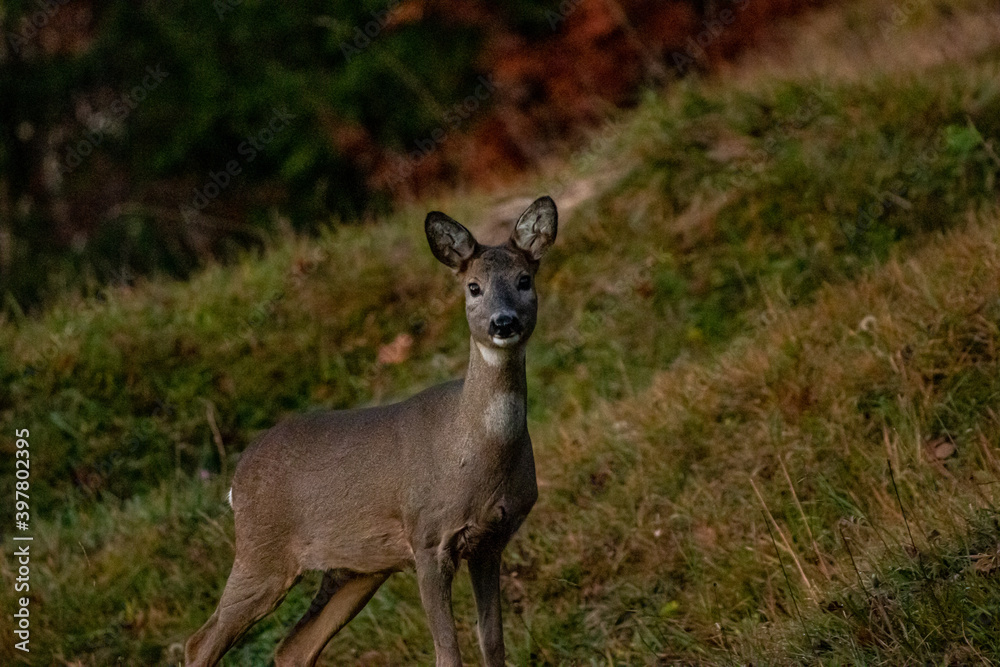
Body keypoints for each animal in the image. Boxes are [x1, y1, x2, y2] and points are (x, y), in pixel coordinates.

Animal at [185, 196, 560, 664]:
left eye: (524, 279)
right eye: (473, 287)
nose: (503, 322)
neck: (472, 451)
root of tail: (235, 482)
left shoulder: (490, 542)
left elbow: (491, 642)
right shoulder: (427, 538)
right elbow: (447, 652)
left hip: (354, 568)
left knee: (293, 647)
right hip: (261, 551)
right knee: (200, 641)